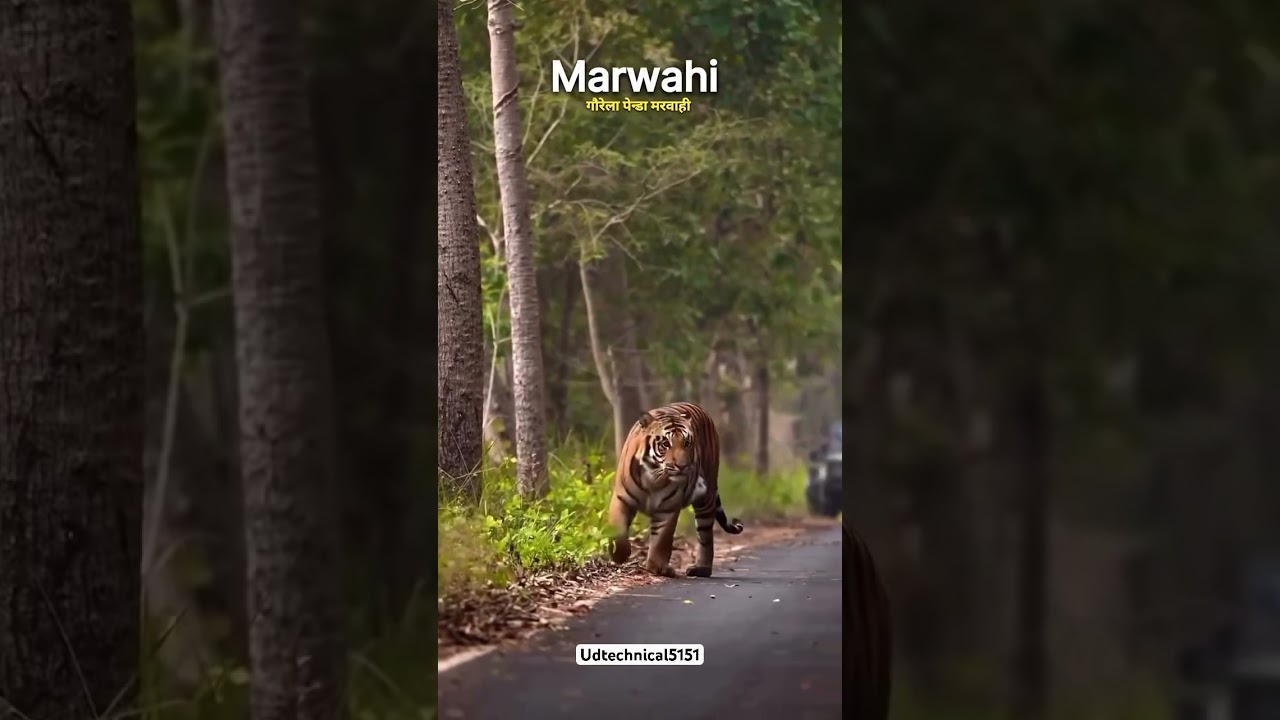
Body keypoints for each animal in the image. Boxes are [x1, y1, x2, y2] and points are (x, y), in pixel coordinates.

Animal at [607, 401, 744, 578]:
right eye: (666, 444)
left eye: (687, 443)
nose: (683, 466)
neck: (654, 478)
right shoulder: (622, 498)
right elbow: (618, 532)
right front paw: (619, 555)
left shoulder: (668, 507)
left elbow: (661, 540)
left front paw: (657, 568)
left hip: (706, 498)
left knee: (706, 537)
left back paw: (701, 568)